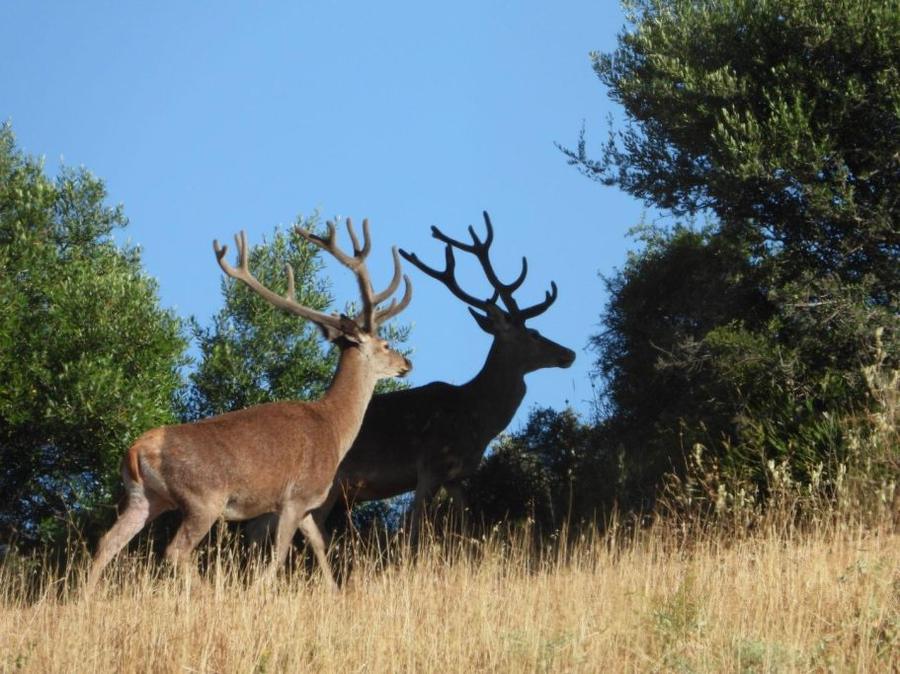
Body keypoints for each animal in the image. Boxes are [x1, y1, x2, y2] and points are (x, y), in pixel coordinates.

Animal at [84, 218, 412, 594]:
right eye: (386, 344)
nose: (407, 363)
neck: (333, 425)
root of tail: (136, 450)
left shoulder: (300, 505)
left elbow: (318, 543)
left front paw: (333, 591)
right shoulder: (296, 495)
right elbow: (279, 555)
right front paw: (259, 593)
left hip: (145, 497)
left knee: (107, 541)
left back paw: (85, 597)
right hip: (203, 498)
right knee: (176, 550)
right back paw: (209, 595)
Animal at [247, 211, 575, 549]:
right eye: (534, 333)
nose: (569, 353)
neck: (477, 417)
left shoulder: (456, 477)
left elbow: (466, 524)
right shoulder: (430, 465)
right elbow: (415, 529)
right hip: (328, 485)